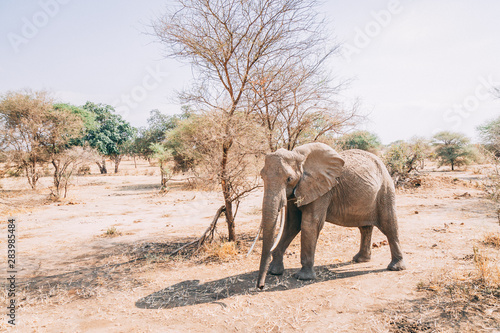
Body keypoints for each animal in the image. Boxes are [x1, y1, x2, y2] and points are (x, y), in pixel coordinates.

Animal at [256, 141, 404, 288]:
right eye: (262, 176)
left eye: (289, 179)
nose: (261, 286)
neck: (298, 156)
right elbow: (292, 224)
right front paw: (274, 271)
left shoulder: (322, 188)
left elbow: (310, 224)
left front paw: (303, 277)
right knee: (365, 228)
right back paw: (360, 259)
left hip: (385, 189)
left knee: (389, 225)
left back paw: (396, 267)